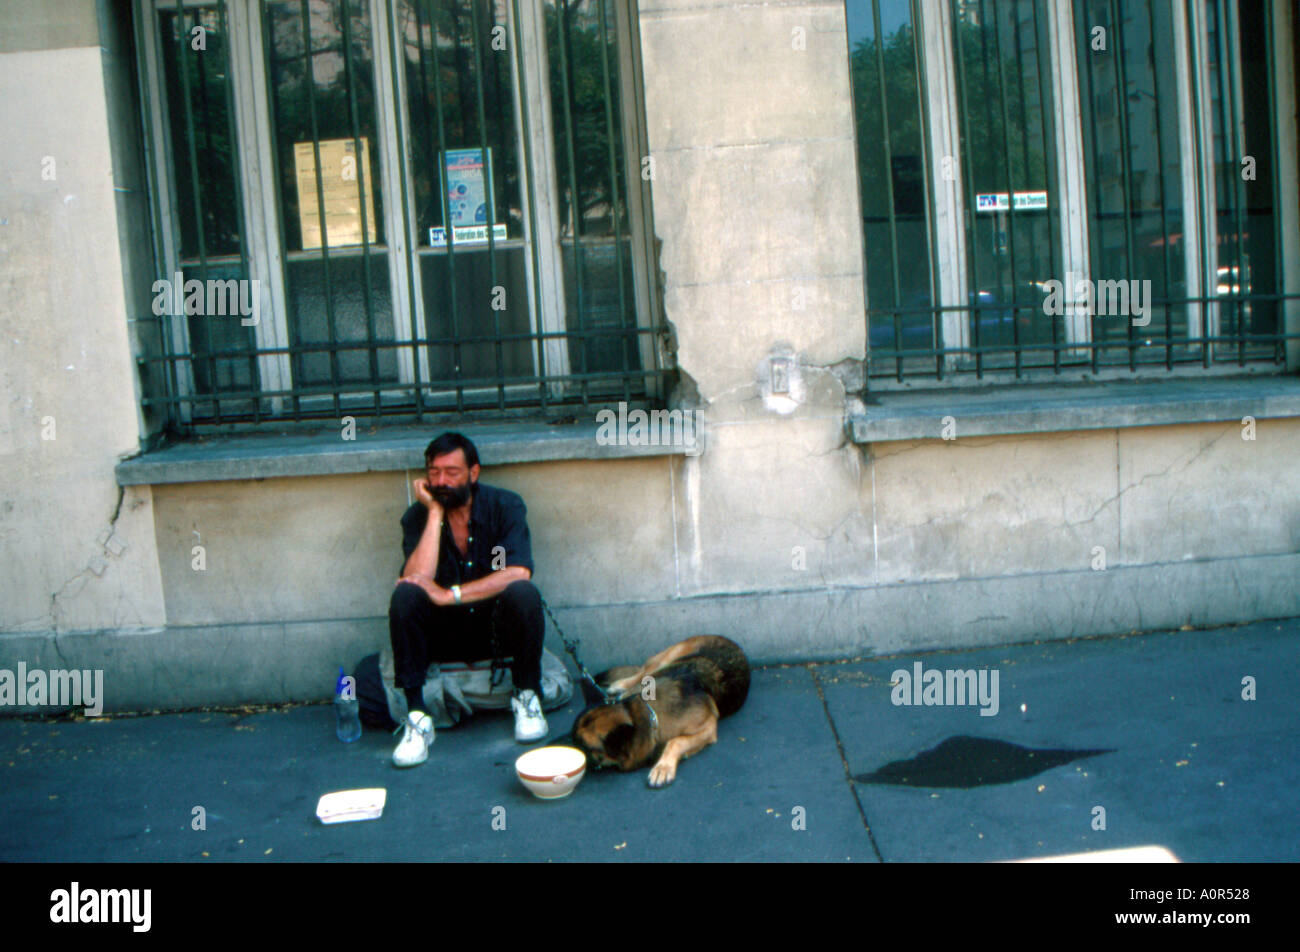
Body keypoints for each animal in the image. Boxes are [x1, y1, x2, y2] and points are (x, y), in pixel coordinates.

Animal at [572, 634, 754, 785]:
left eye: (585, 746)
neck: (647, 711)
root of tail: (729, 640)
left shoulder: (708, 728)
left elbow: (675, 741)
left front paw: (663, 767)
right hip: (664, 660)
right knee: (641, 673)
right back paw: (620, 685)